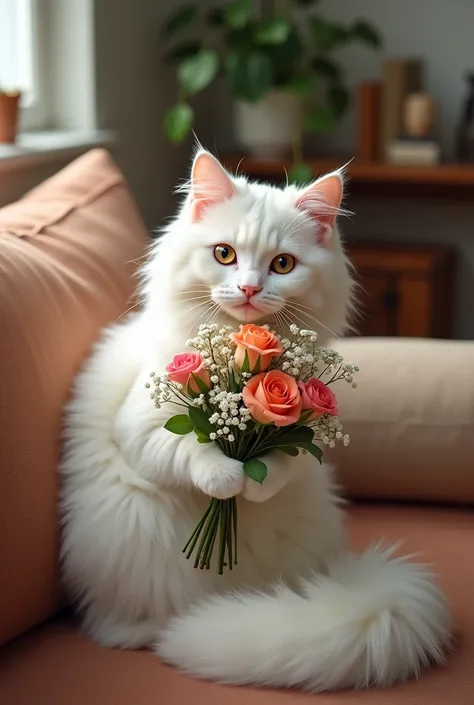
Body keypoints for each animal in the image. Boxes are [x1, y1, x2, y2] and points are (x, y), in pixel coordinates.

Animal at [61, 148, 450, 688]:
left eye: (282, 264)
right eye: (224, 254)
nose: (248, 287)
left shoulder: (304, 444)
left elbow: (279, 469)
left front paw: (254, 487)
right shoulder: (142, 432)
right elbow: (196, 455)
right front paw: (230, 480)